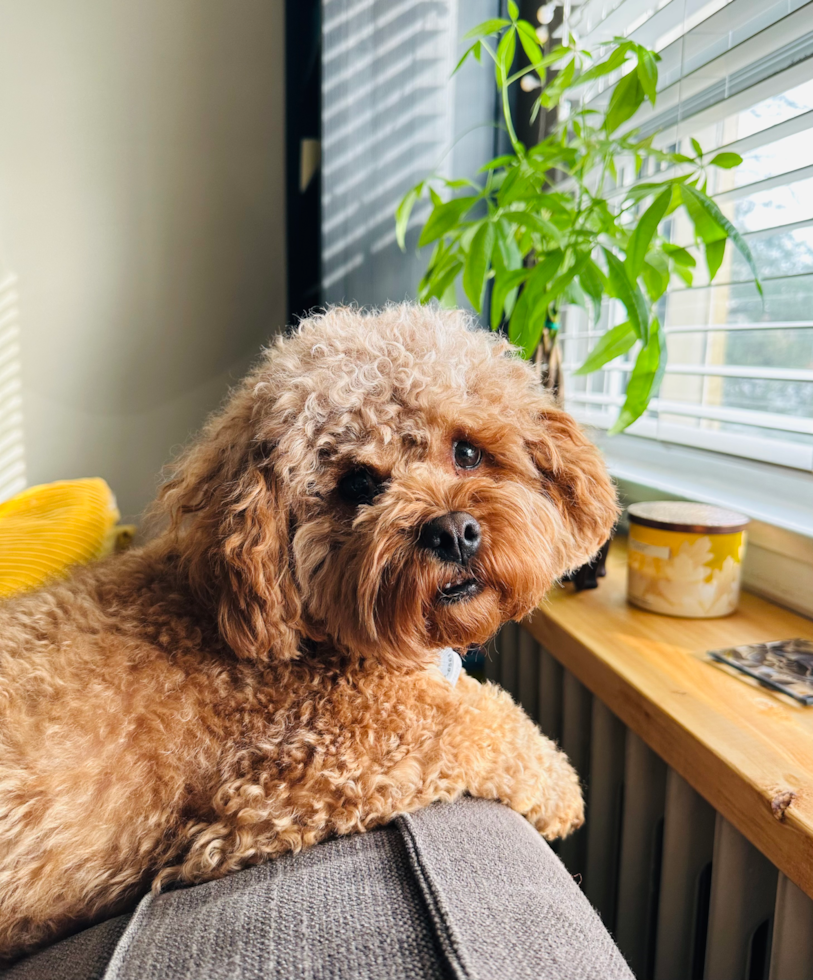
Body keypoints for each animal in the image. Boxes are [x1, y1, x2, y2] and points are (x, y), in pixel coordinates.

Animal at [0, 304, 616, 956]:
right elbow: (480, 718)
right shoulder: (282, 790)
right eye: (359, 485)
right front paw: (564, 790)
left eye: (468, 452)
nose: (452, 532)